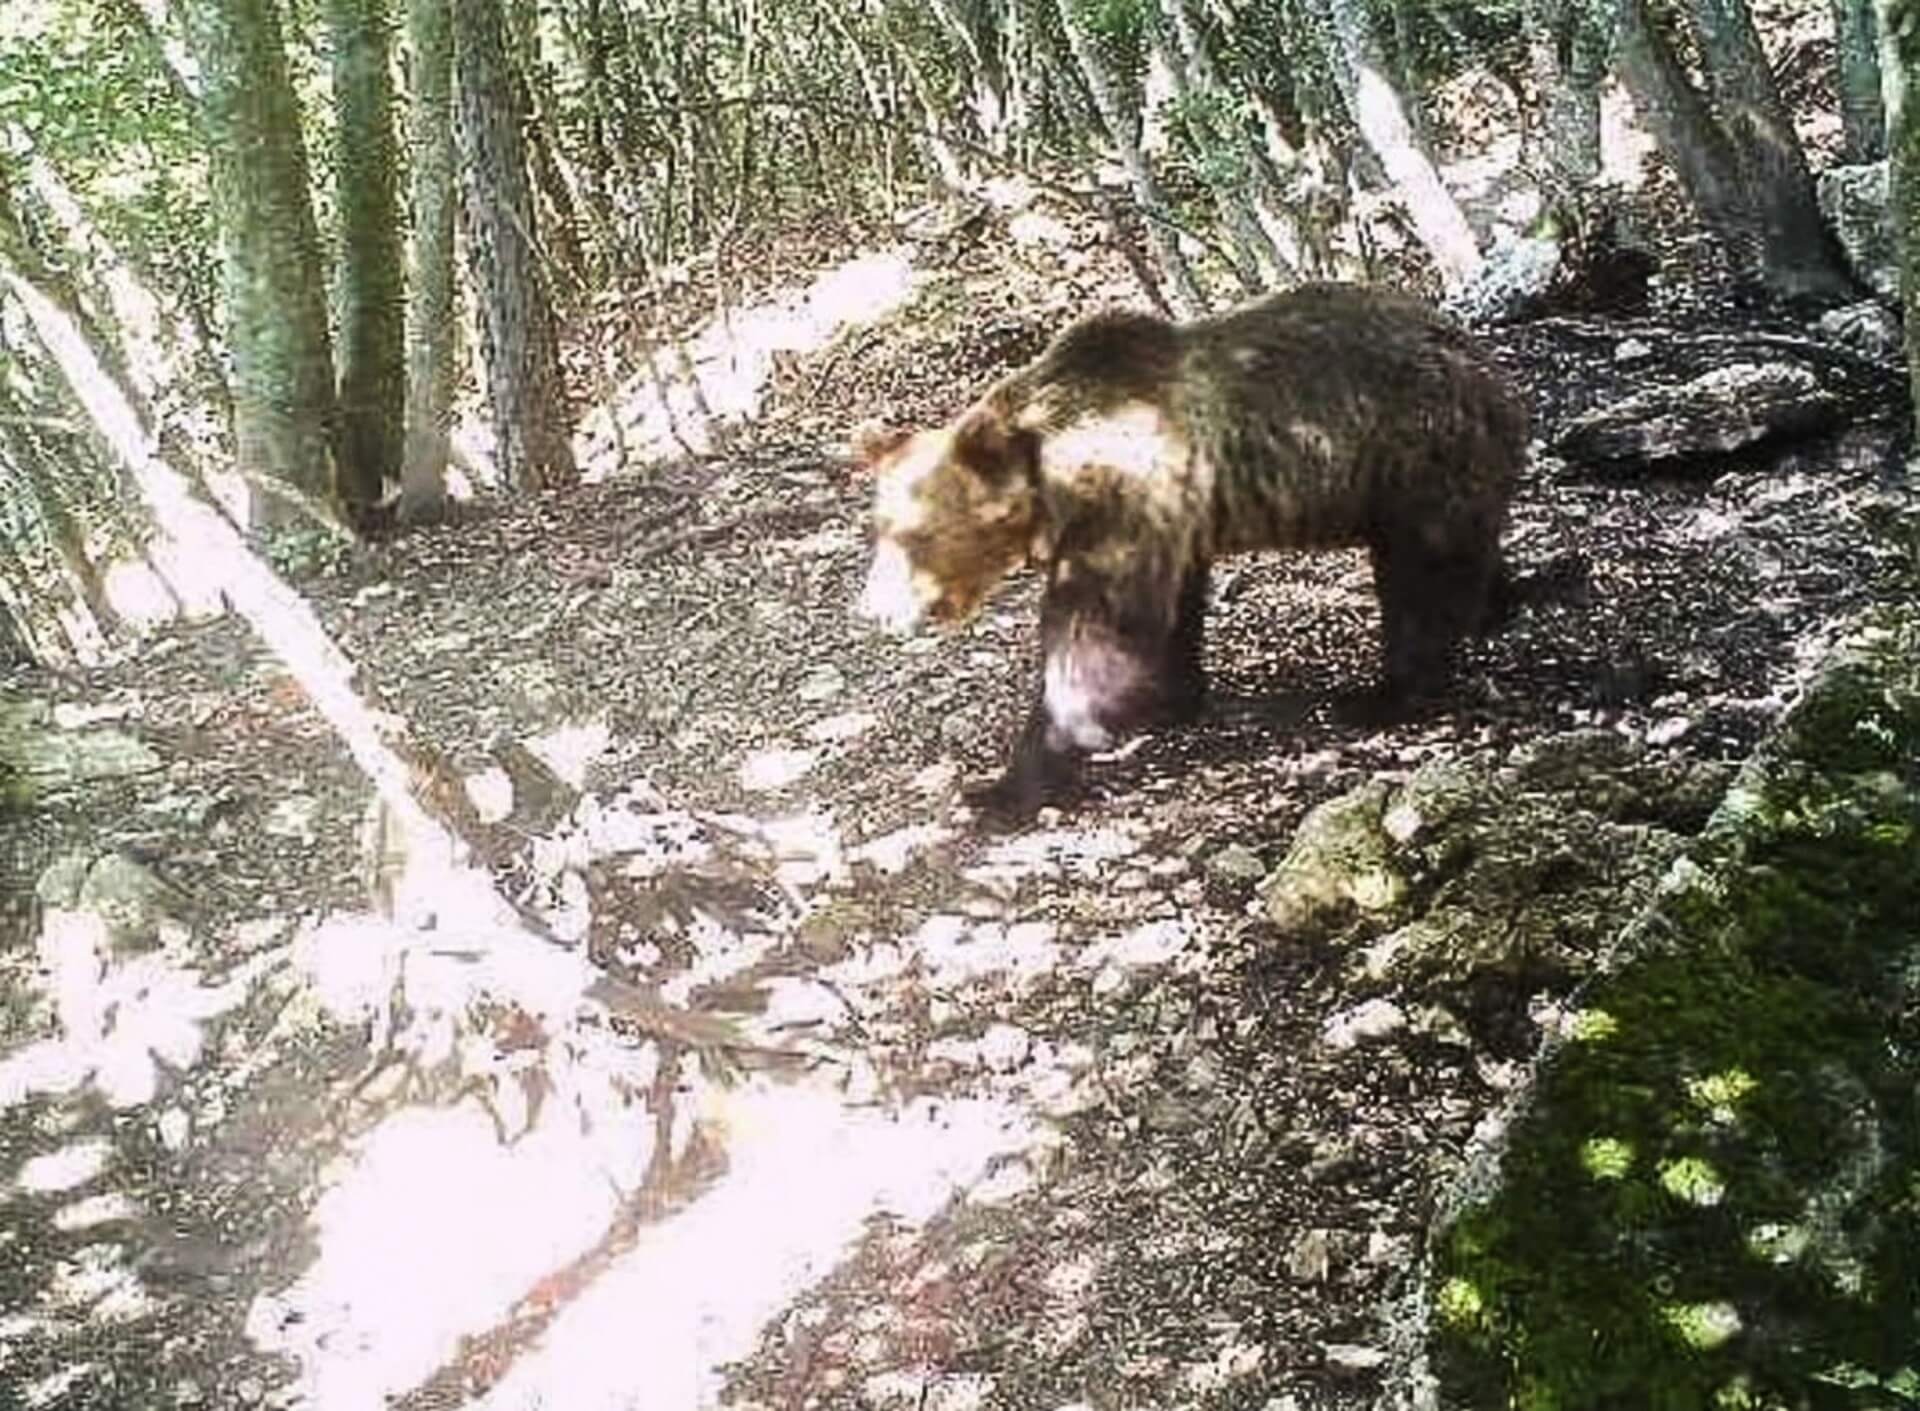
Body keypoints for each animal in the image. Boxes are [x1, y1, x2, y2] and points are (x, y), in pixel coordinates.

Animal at [856, 282, 1528, 817]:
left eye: (914, 534)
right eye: (880, 526)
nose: (873, 610)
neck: (1054, 479)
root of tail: (1483, 361)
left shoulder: (1121, 500)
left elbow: (1095, 634)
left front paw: (1011, 782)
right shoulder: (1172, 518)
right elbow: (1170, 611)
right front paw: (1169, 697)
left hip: (1409, 454)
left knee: (1423, 577)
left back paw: (1382, 694)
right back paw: (1502, 603)